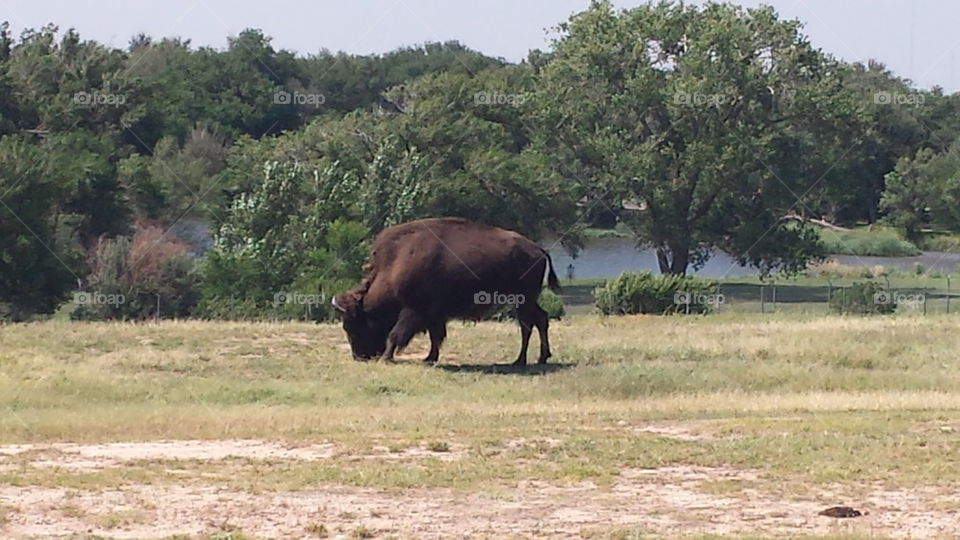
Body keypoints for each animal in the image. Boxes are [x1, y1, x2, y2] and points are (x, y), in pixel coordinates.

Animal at [334, 217, 564, 364]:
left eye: (351, 325)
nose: (359, 356)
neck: (393, 264)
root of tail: (539, 250)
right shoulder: (433, 314)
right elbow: (435, 336)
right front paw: (429, 358)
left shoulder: (413, 310)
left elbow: (396, 334)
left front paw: (386, 358)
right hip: (525, 300)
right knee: (539, 320)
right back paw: (537, 358)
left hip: (523, 300)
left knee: (529, 324)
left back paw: (522, 360)